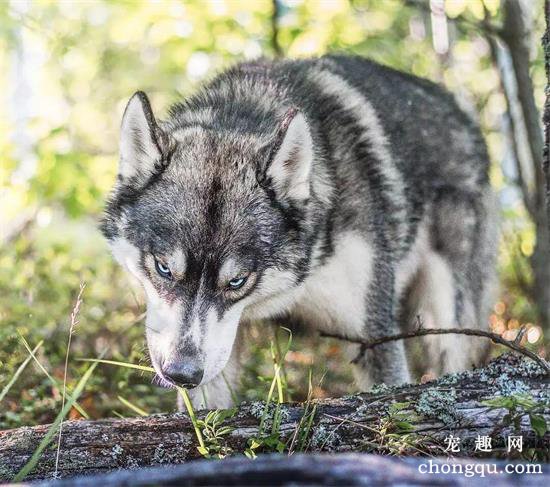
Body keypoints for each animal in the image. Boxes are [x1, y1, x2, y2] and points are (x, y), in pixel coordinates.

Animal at [100, 55, 500, 410]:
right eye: (164, 268)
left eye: (237, 281)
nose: (181, 373)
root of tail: (461, 111)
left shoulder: (374, 337)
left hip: (448, 322)